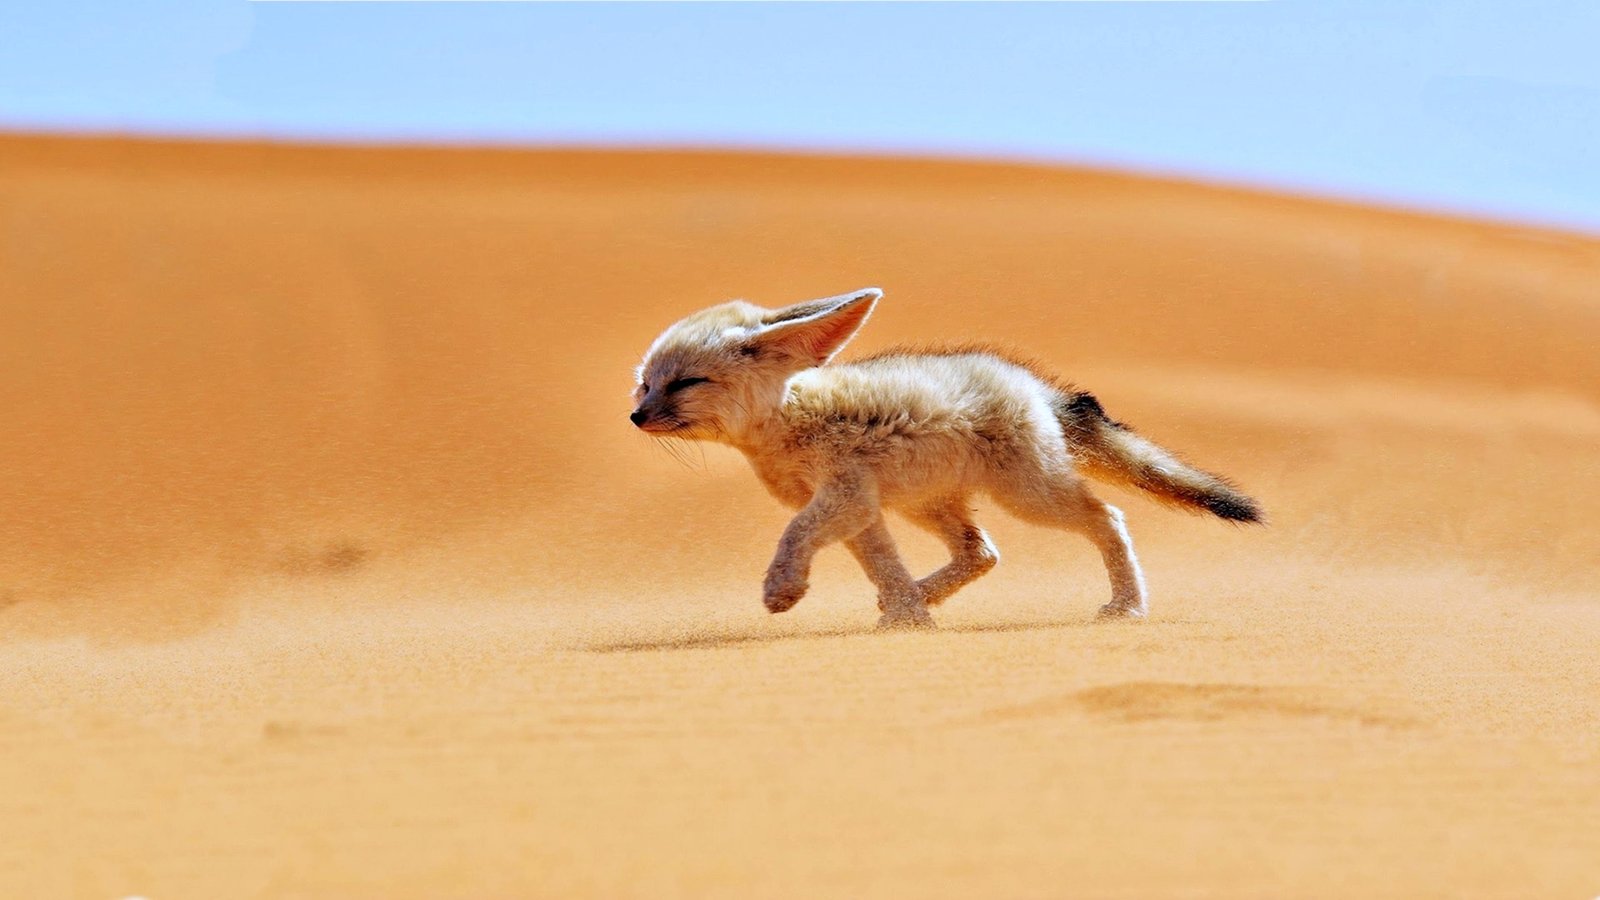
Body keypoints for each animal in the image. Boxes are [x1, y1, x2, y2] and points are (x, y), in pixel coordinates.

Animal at [630, 287, 1261, 629]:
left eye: (685, 383)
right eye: (645, 385)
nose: (636, 417)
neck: (789, 420)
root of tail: (1033, 385)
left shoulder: (844, 496)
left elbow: (794, 534)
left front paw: (782, 589)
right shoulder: (861, 508)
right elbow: (882, 564)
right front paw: (909, 617)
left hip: (1029, 497)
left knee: (1108, 517)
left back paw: (1128, 606)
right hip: (927, 504)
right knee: (982, 552)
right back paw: (919, 596)